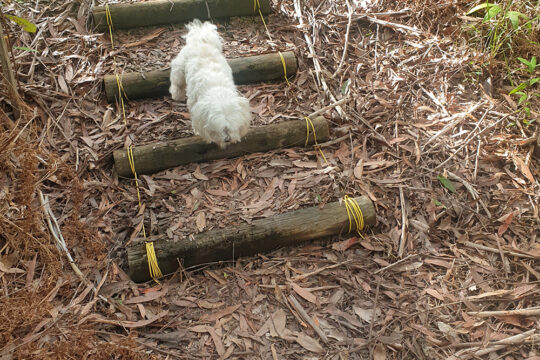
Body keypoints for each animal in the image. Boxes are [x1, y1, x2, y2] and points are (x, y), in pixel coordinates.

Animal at [170, 19, 252, 148]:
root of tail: (200, 39)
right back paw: (177, 94)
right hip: (179, 68)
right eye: (219, 128)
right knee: (176, 82)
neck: (217, 88)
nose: (227, 139)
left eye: (231, 127)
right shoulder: (194, 106)